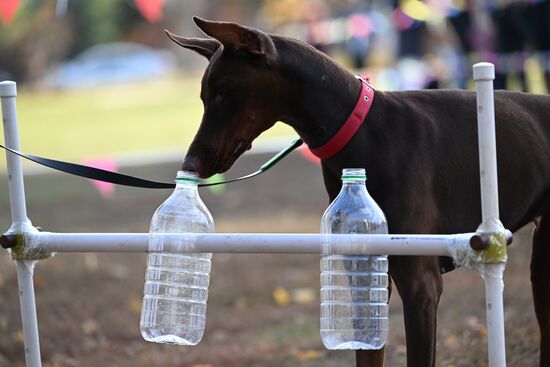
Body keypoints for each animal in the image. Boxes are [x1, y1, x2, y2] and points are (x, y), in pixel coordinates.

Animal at [166, 17, 550, 367]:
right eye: (204, 96)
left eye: (222, 93)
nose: (190, 163)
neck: (362, 133)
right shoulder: (365, 278)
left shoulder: (420, 284)